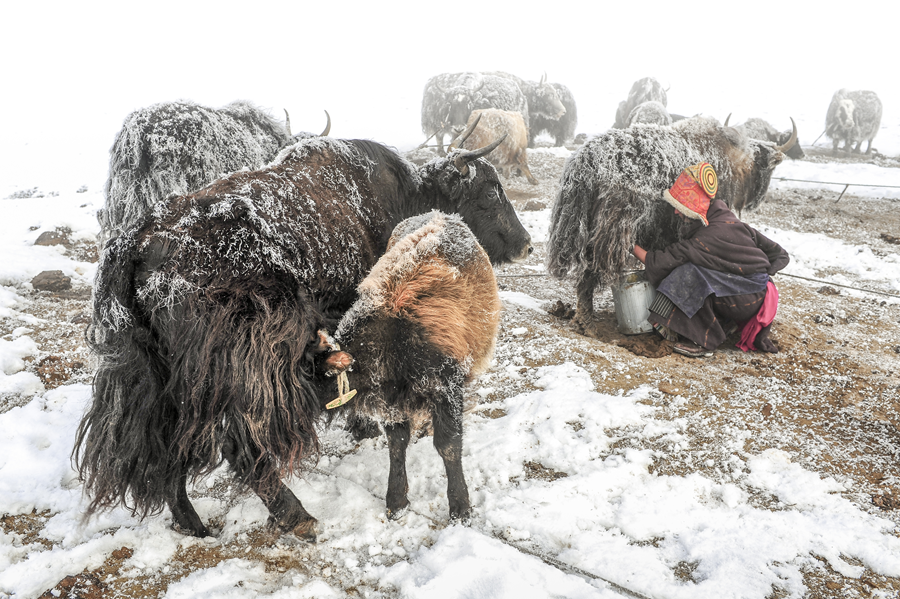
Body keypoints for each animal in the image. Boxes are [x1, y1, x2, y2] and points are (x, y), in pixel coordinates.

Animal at [316, 211, 500, 522]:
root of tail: (442, 213)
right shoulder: (392, 400)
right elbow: (397, 444)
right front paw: (396, 500)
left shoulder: (446, 387)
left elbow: (449, 445)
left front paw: (460, 507)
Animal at [546, 116, 796, 336]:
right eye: (768, 167)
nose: (756, 201)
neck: (731, 160)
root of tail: (584, 162)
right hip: (609, 233)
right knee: (590, 273)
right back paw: (587, 325)